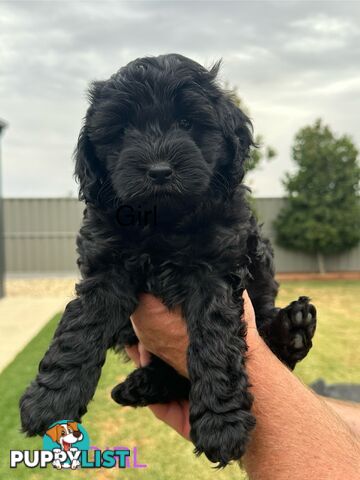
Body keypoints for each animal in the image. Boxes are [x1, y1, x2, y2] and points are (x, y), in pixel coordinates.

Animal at [21, 54, 316, 466]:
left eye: (188, 123)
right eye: (123, 130)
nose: (159, 170)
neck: (161, 221)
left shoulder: (216, 270)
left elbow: (215, 339)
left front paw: (221, 422)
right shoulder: (107, 266)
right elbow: (79, 328)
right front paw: (50, 398)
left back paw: (293, 330)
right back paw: (140, 385)